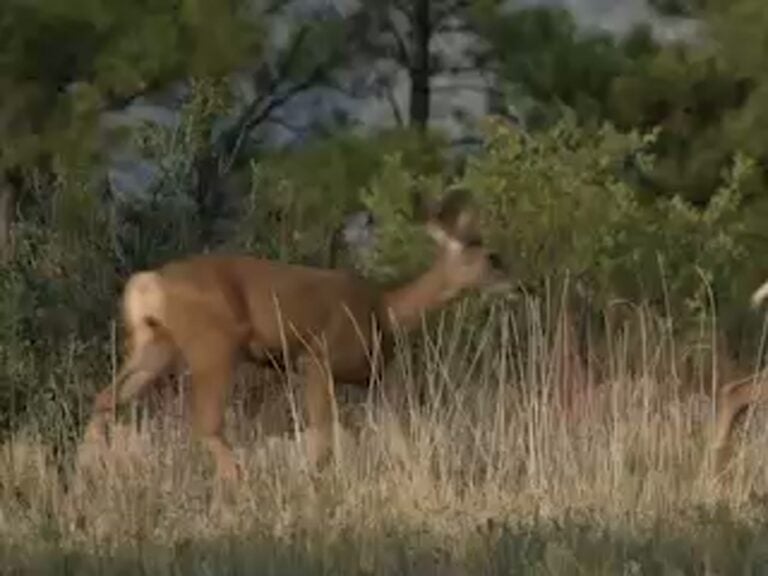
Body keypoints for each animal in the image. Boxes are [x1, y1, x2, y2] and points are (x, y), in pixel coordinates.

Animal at [81, 189, 509, 481]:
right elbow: (321, 439)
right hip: (212, 345)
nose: (511, 281)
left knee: (104, 400)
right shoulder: (317, 357)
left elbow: (396, 436)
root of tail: (147, 282)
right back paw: (239, 482)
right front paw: (309, 484)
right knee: (206, 424)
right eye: (491, 257)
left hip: (154, 344)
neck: (385, 312)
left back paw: (86, 478)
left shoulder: (375, 377)